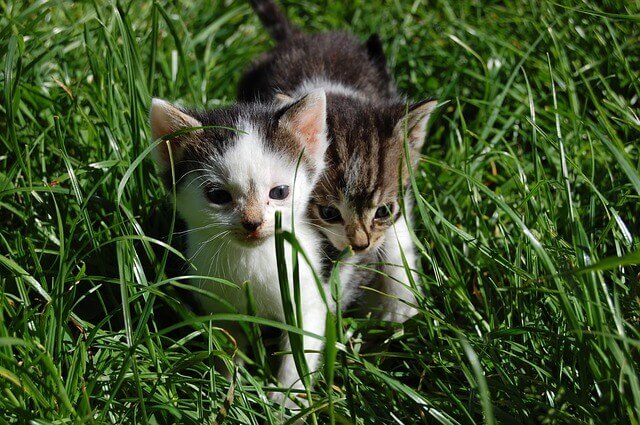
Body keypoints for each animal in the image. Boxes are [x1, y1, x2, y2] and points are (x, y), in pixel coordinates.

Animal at [148, 90, 332, 404]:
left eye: (279, 192)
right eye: (218, 195)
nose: (253, 223)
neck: (252, 258)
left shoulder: (309, 293)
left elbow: (301, 347)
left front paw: (286, 399)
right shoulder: (216, 300)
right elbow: (227, 342)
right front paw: (226, 389)